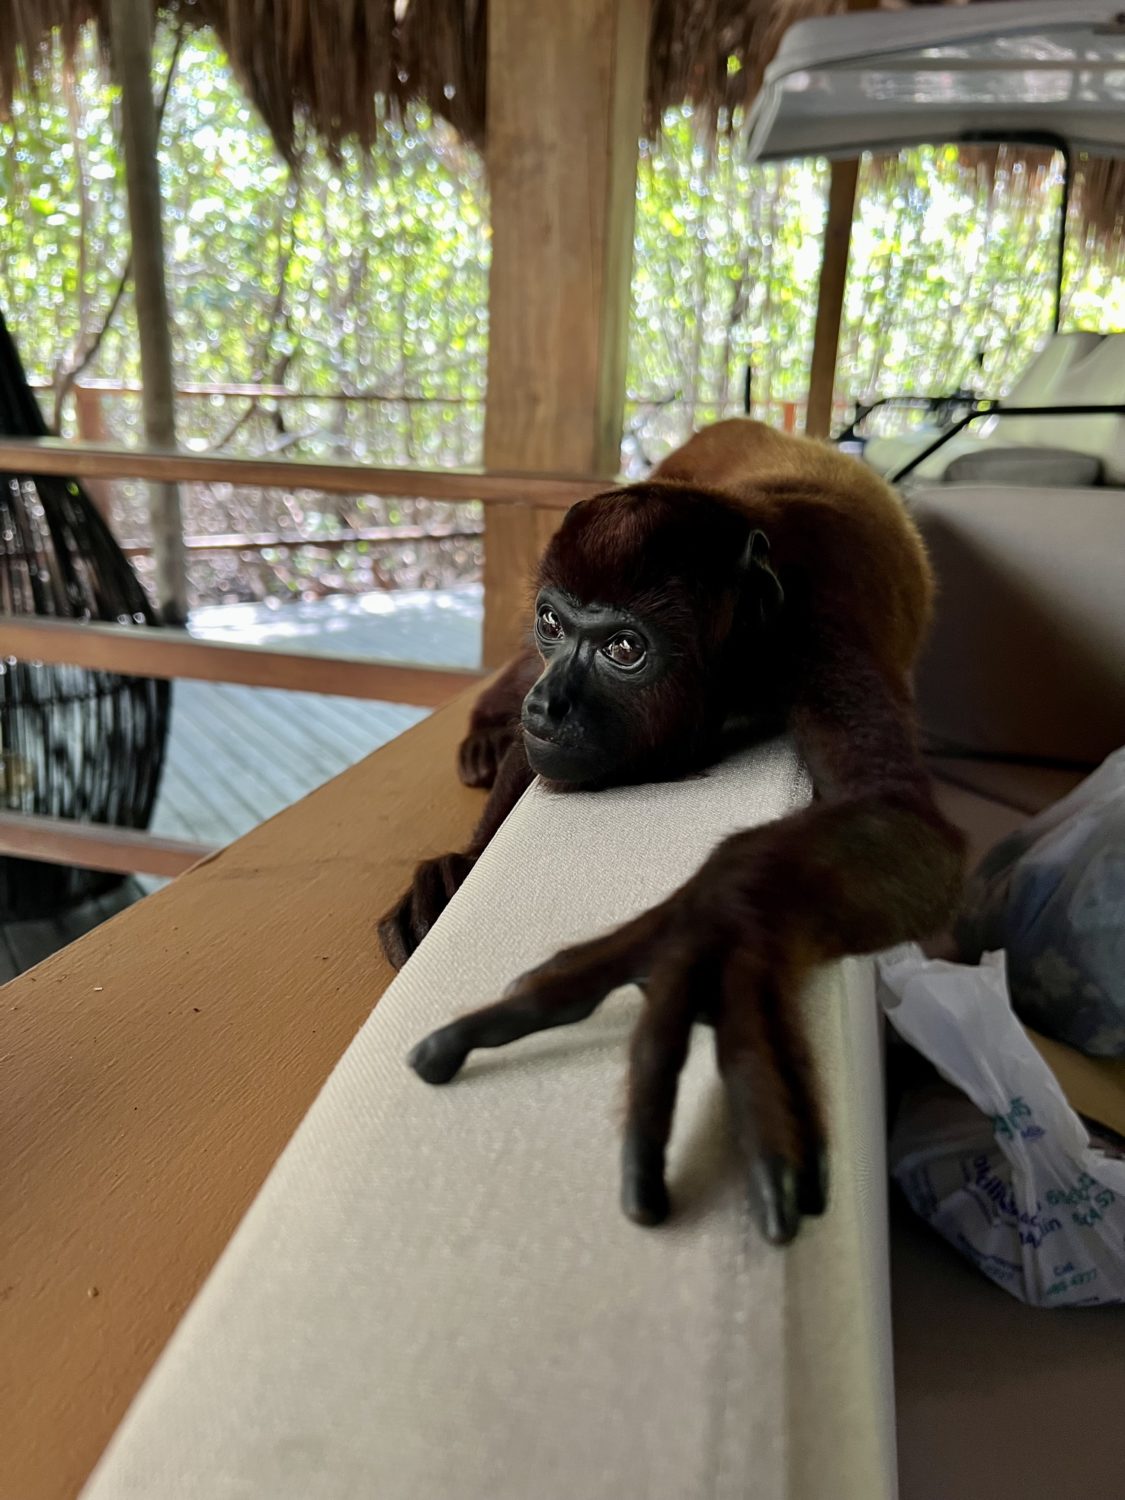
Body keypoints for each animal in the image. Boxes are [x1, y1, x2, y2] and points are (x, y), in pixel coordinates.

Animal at [378, 419, 965, 1245]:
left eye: (625, 648)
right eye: (554, 621)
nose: (548, 707)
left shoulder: (821, 639)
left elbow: (901, 818)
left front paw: (711, 928)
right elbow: (531, 759)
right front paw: (459, 867)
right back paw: (487, 730)